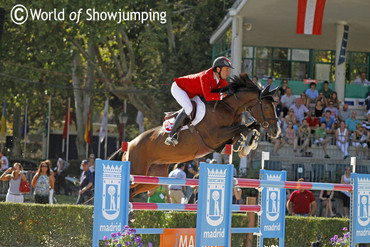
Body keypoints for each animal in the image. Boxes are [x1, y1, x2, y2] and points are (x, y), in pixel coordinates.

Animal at [110, 72, 280, 200]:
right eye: (266, 106)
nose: (276, 131)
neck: (228, 108)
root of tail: (129, 145)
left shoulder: (222, 142)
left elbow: (251, 127)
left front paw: (248, 145)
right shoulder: (215, 137)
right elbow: (242, 128)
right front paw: (244, 145)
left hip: (151, 178)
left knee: (134, 190)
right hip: (137, 170)